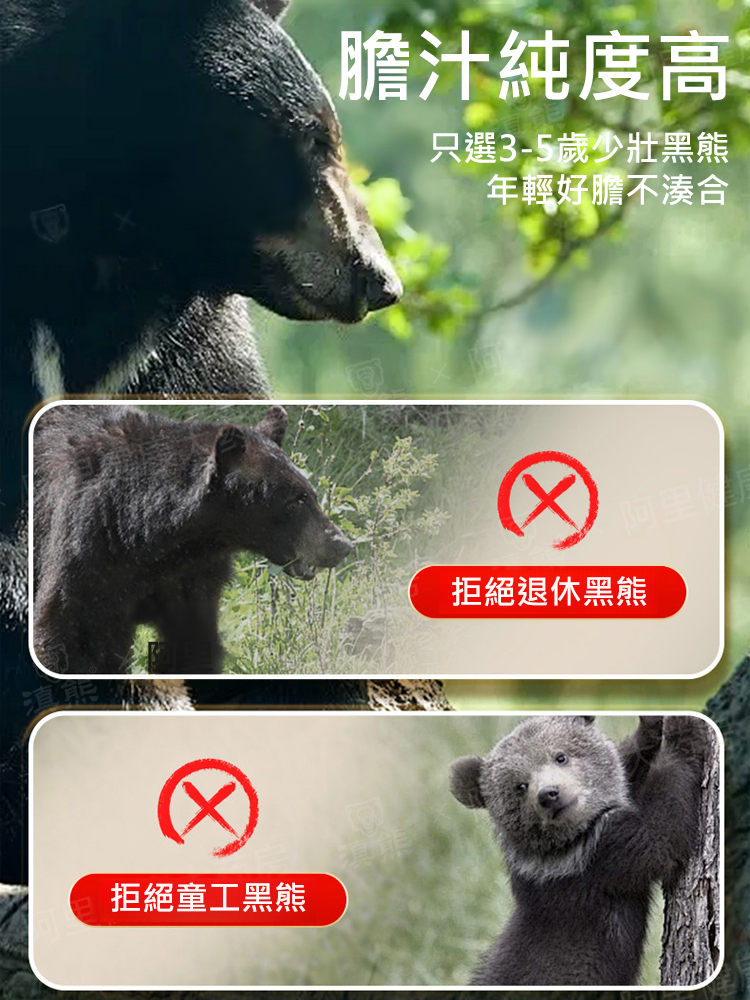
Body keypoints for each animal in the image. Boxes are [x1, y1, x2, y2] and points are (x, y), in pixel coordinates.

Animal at [32, 403, 353, 674]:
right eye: (295, 501)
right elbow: (72, 637)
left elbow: (192, 641)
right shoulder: (88, 551)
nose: (342, 545)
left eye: (311, 493)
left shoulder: (193, 575)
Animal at [450, 715, 706, 986]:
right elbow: (663, 831)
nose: (549, 794)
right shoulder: (601, 858)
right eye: (519, 786)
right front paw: (683, 731)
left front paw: (651, 727)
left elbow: (628, 769)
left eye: (560, 756)